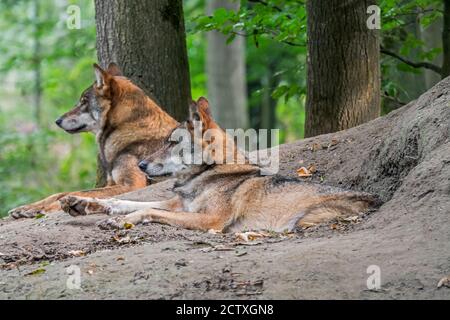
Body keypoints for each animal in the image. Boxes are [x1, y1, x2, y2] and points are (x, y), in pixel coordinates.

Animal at [8, 62, 178, 218]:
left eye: (84, 101)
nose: (57, 121)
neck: (130, 129)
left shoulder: (132, 185)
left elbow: (77, 192)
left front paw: (46, 208)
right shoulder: (111, 183)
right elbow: (60, 193)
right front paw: (27, 207)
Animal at [59, 96, 380, 234]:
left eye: (172, 142)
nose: (141, 165)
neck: (211, 173)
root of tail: (377, 199)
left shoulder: (208, 220)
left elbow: (147, 209)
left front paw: (119, 220)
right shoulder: (180, 205)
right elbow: (124, 201)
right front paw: (80, 203)